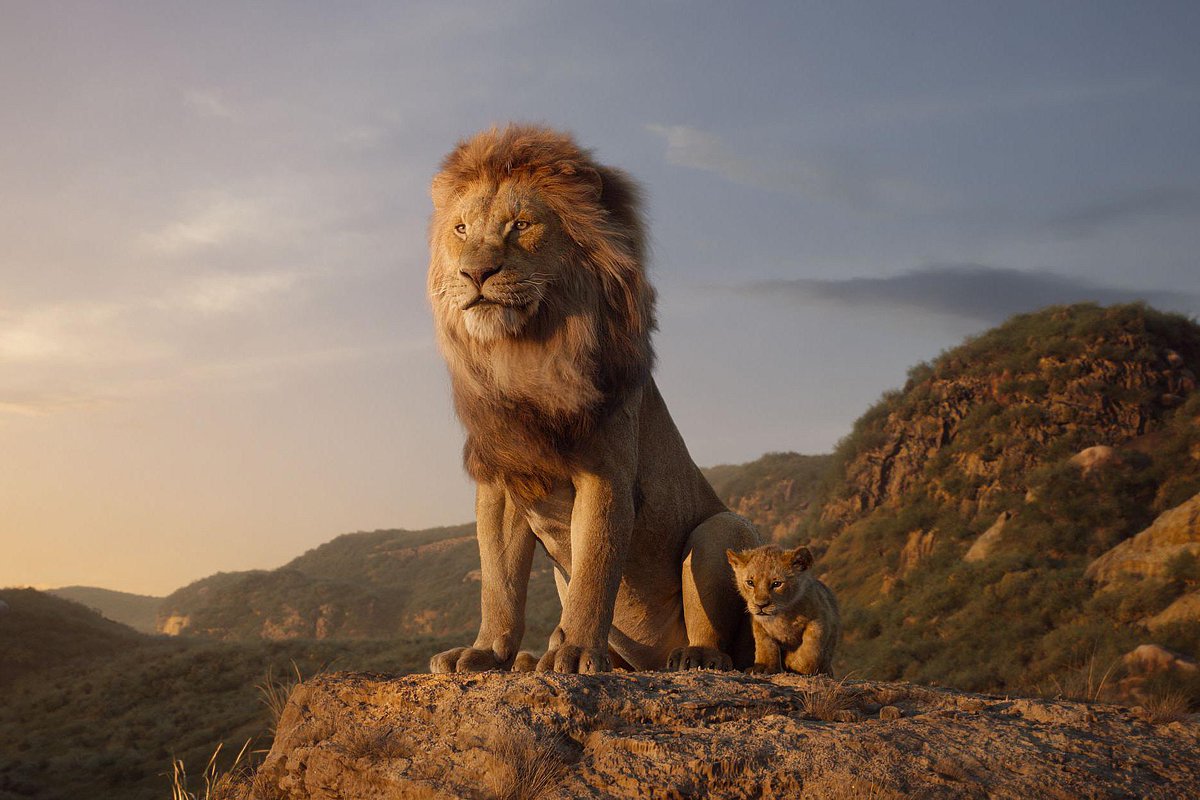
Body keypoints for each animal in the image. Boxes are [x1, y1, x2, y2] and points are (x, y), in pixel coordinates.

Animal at [425, 124, 760, 674]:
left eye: (521, 225)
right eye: (460, 229)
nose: (475, 273)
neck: (525, 356)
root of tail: (649, 662)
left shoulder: (606, 474)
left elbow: (594, 571)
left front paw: (578, 652)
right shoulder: (502, 480)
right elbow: (499, 583)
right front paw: (486, 652)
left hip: (721, 529)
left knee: (721, 637)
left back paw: (693, 657)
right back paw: (534, 658)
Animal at [725, 545, 840, 676]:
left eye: (777, 584)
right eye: (750, 582)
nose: (761, 605)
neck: (782, 615)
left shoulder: (820, 619)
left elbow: (810, 649)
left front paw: (794, 663)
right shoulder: (759, 625)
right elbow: (765, 645)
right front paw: (763, 667)